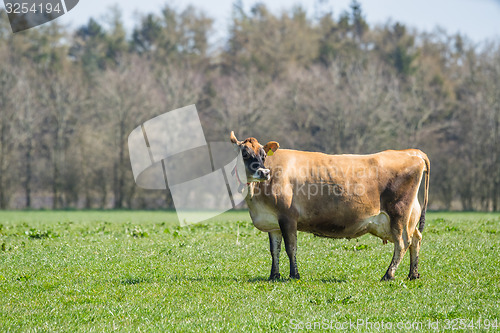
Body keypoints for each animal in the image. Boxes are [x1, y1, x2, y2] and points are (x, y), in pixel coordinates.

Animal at [230, 131, 430, 278]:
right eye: (245, 154)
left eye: (264, 155)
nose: (264, 172)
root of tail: (412, 152)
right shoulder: (273, 222)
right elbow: (274, 250)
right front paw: (274, 275)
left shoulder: (288, 217)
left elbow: (290, 248)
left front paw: (294, 275)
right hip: (410, 216)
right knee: (416, 238)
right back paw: (413, 274)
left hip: (399, 213)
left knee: (403, 242)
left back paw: (388, 275)